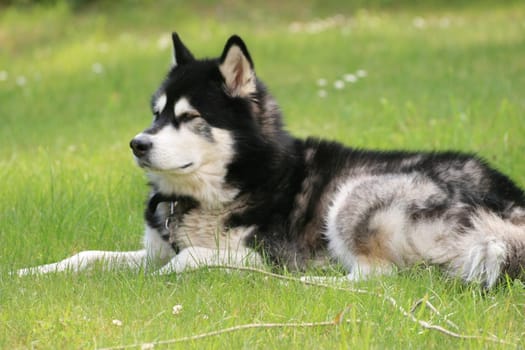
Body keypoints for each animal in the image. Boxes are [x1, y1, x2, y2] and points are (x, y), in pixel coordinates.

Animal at [18, 34, 524, 288]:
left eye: (190, 117)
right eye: (157, 112)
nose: (137, 144)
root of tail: (510, 201)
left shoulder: (263, 251)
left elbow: (190, 259)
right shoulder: (153, 248)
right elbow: (87, 256)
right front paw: (31, 273)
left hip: (355, 195)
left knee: (377, 279)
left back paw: (305, 284)